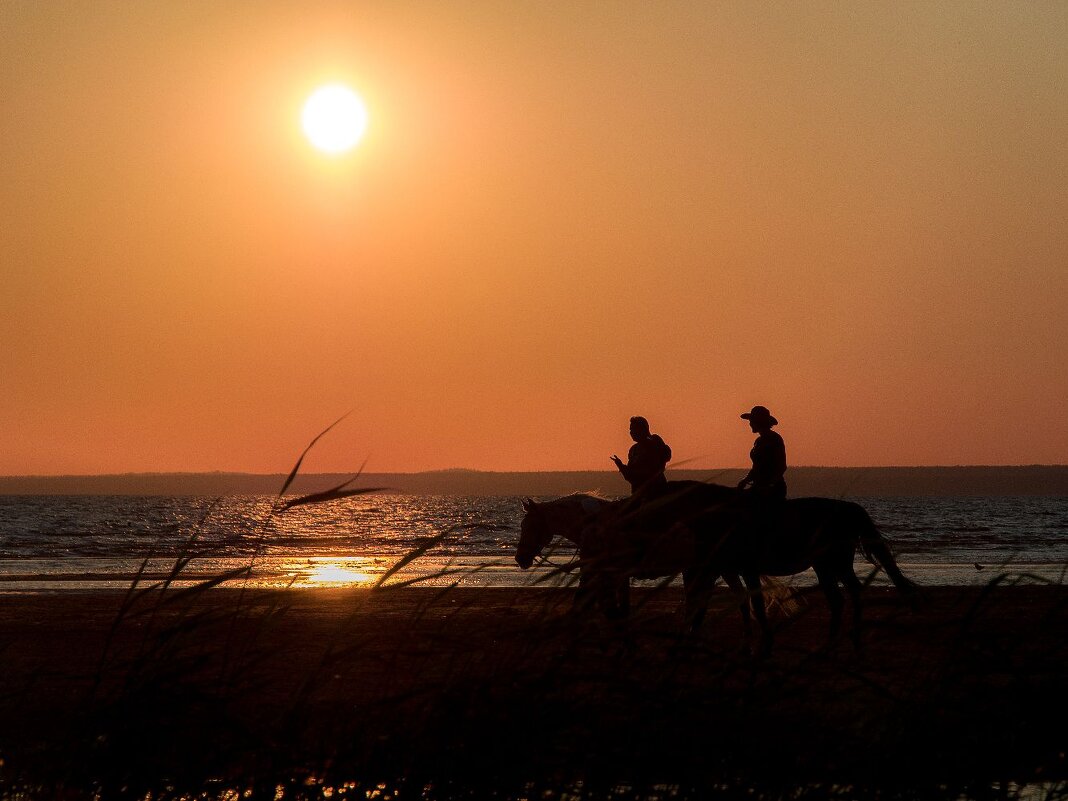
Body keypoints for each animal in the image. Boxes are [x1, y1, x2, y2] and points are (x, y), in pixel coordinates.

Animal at [512, 480, 914, 653]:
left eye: (527, 524)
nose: (520, 558)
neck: (600, 523)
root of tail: (848, 509)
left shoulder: (610, 571)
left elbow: (604, 606)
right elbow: (600, 605)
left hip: (830, 562)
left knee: (850, 595)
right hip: (818, 565)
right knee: (836, 599)